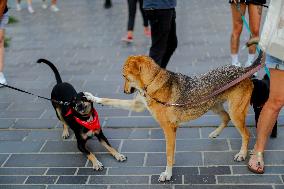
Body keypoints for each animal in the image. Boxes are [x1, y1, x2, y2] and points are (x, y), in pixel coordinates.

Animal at [84, 55, 258, 182]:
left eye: (124, 76)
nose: (125, 91)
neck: (152, 83)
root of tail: (243, 69)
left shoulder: (169, 128)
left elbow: (168, 153)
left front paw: (168, 174)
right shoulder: (138, 106)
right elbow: (111, 100)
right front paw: (93, 98)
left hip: (235, 113)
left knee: (246, 134)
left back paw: (242, 154)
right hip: (213, 106)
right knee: (226, 117)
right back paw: (215, 133)